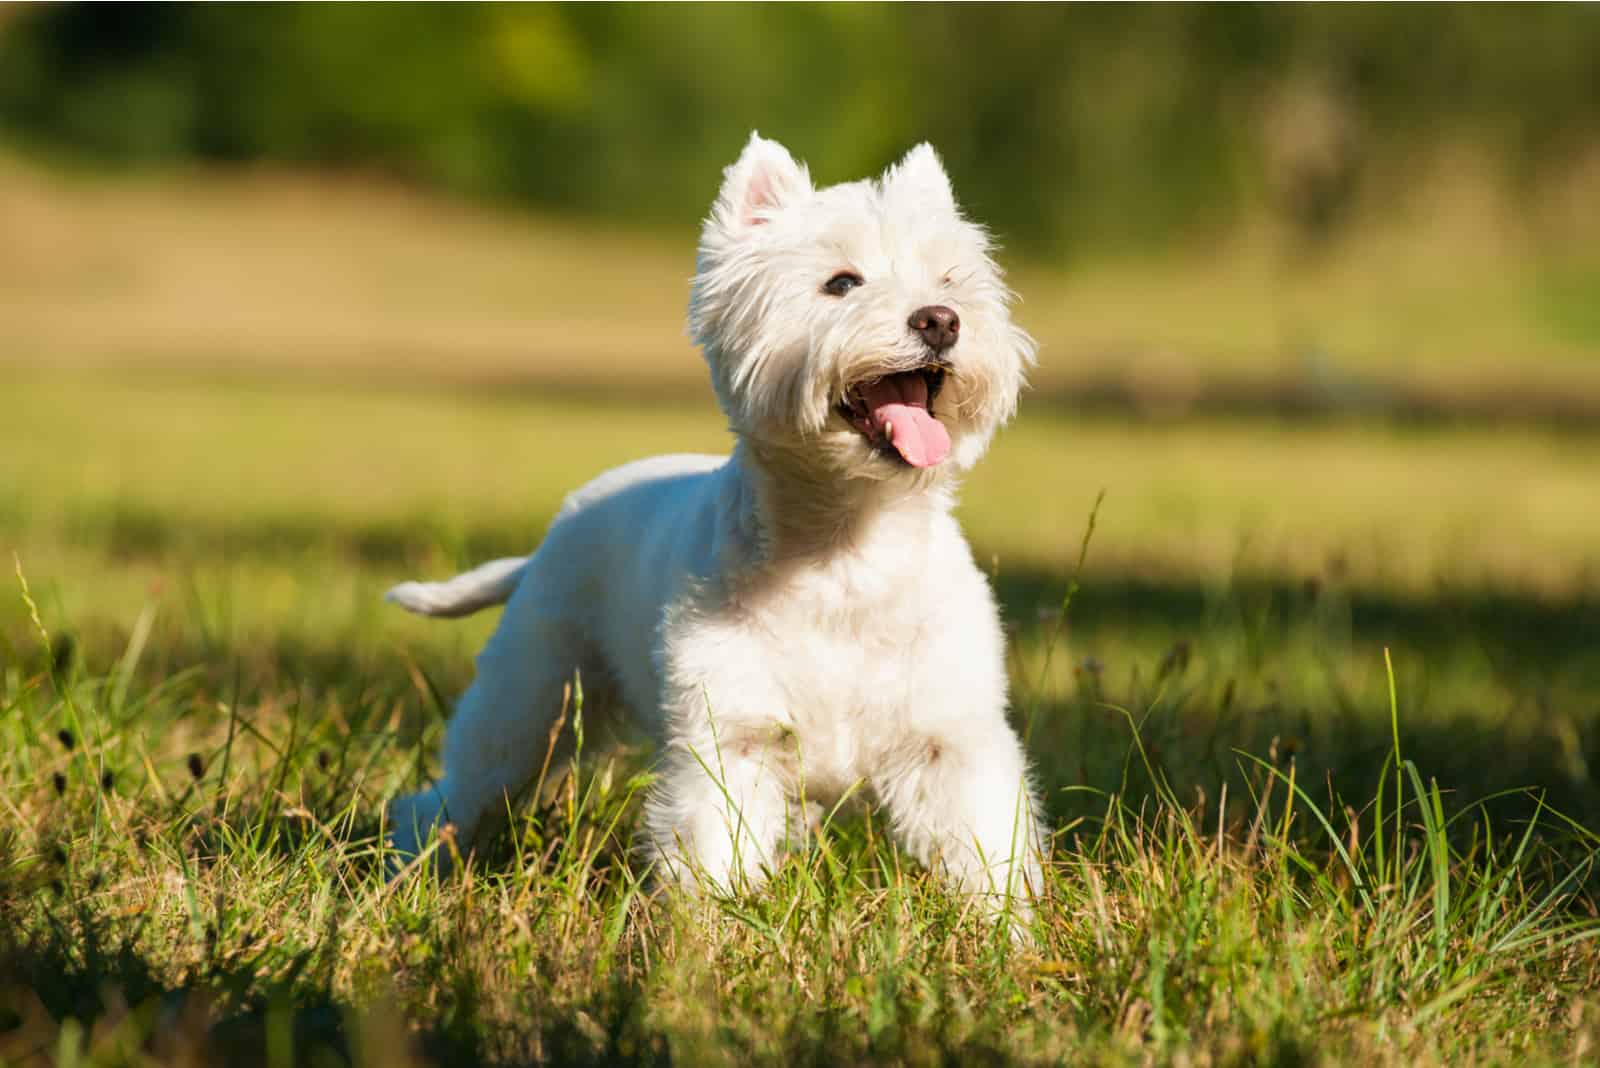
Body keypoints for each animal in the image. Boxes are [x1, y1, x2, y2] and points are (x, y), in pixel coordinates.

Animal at [382, 133, 1043, 914]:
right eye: (841, 283)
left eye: (950, 276)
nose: (940, 319)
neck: (847, 549)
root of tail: (551, 537)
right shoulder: (730, 741)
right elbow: (713, 855)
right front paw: (710, 933)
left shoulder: (950, 741)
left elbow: (987, 852)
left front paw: (1007, 931)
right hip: (532, 699)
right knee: (453, 794)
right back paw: (411, 869)